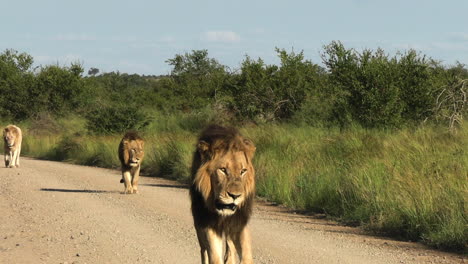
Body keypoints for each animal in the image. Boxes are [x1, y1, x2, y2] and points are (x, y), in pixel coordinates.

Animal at [190, 125, 256, 262]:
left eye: (243, 171)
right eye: (223, 170)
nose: (235, 196)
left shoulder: (239, 222)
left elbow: (246, 254)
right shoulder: (209, 224)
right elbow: (214, 256)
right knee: (204, 251)